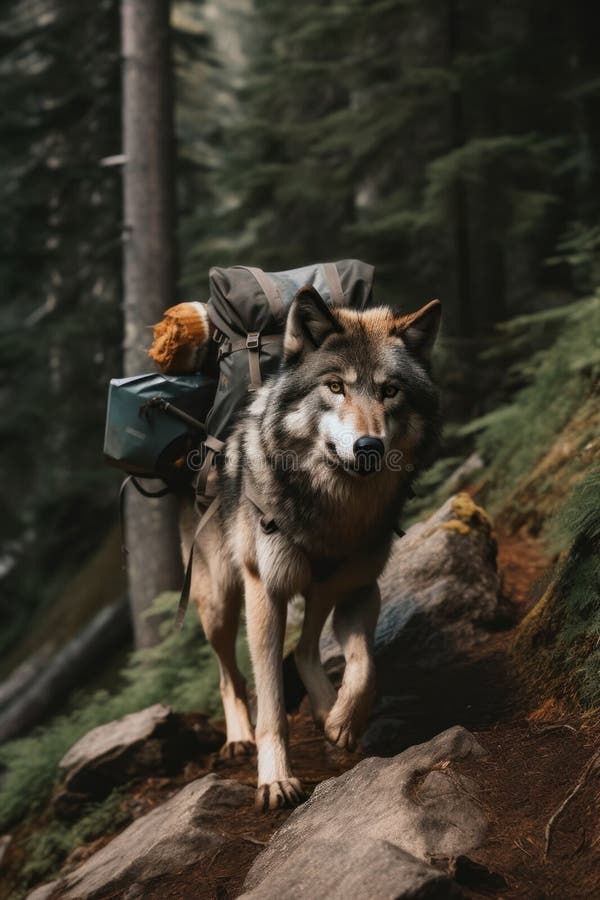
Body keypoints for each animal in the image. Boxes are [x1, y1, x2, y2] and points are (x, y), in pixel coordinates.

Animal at [179, 287, 441, 810]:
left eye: (389, 391)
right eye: (335, 387)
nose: (368, 448)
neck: (333, 513)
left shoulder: (362, 588)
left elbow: (364, 666)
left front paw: (343, 720)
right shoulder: (265, 594)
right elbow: (272, 705)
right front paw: (275, 780)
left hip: (319, 589)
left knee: (303, 650)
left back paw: (325, 708)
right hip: (220, 605)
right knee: (229, 676)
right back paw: (238, 738)